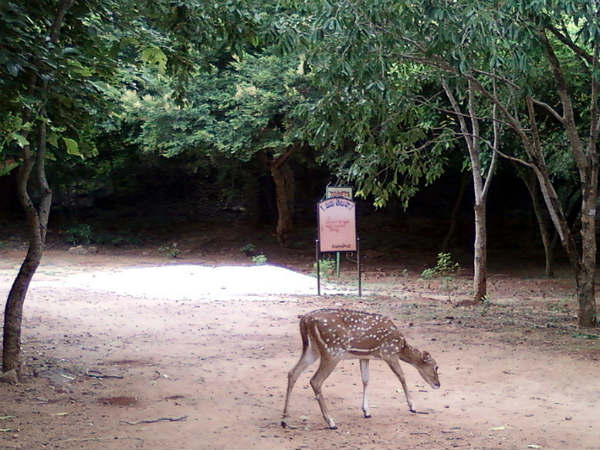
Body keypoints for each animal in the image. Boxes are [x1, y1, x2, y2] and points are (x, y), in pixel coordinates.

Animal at [282, 310, 440, 428]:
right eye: (436, 366)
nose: (438, 384)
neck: (400, 346)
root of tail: (305, 320)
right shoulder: (389, 352)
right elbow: (402, 376)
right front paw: (412, 406)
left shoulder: (364, 357)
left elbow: (365, 379)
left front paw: (366, 411)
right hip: (332, 351)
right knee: (315, 380)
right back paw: (331, 421)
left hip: (312, 349)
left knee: (292, 373)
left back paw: (284, 420)